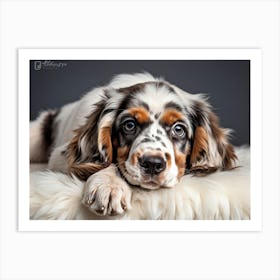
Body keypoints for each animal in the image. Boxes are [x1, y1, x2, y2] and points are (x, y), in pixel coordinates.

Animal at [30, 72, 236, 217]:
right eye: (129, 125)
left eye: (179, 129)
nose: (152, 164)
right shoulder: (59, 157)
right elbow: (110, 162)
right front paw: (108, 186)